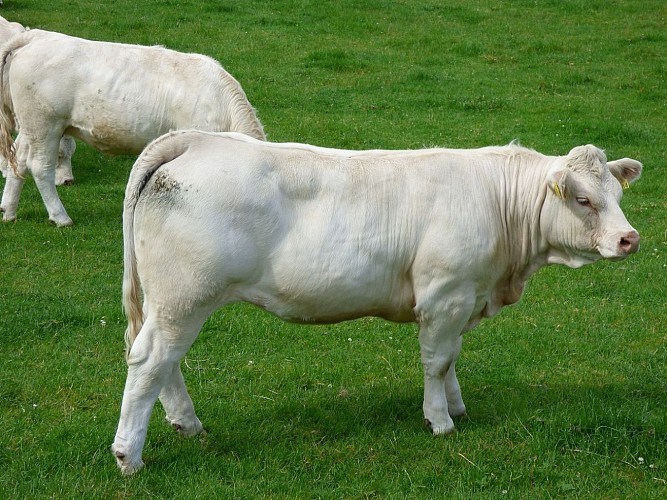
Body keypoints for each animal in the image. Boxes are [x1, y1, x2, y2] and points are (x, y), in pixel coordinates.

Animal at [112, 131, 644, 474]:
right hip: (186, 296)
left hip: (171, 301)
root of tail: (197, 141)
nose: (629, 239)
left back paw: (187, 425)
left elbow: (452, 358)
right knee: (150, 360)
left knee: (162, 361)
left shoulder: (463, 297)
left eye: (616, 194)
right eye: (582, 199)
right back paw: (129, 456)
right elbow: (436, 361)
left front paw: (457, 405)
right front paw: (440, 421)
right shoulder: (445, 294)